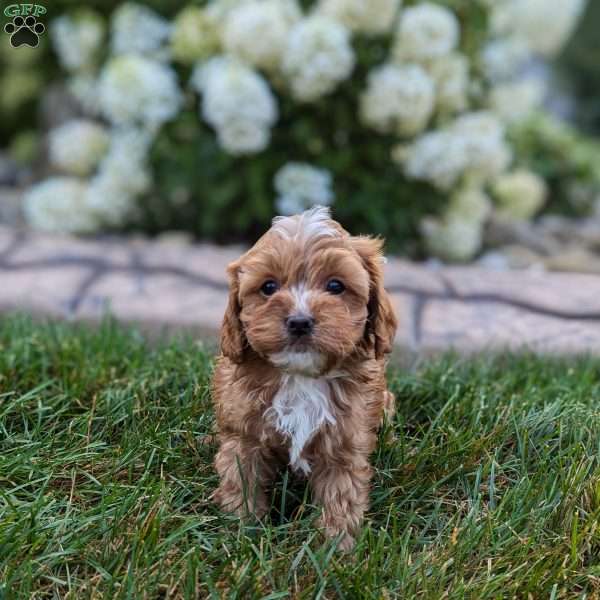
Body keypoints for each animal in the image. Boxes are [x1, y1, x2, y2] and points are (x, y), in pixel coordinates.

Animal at [211, 205, 398, 548]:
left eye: (336, 286)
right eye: (268, 287)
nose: (299, 322)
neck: (300, 377)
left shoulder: (345, 443)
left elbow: (341, 496)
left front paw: (335, 548)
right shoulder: (243, 436)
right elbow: (241, 480)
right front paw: (241, 532)